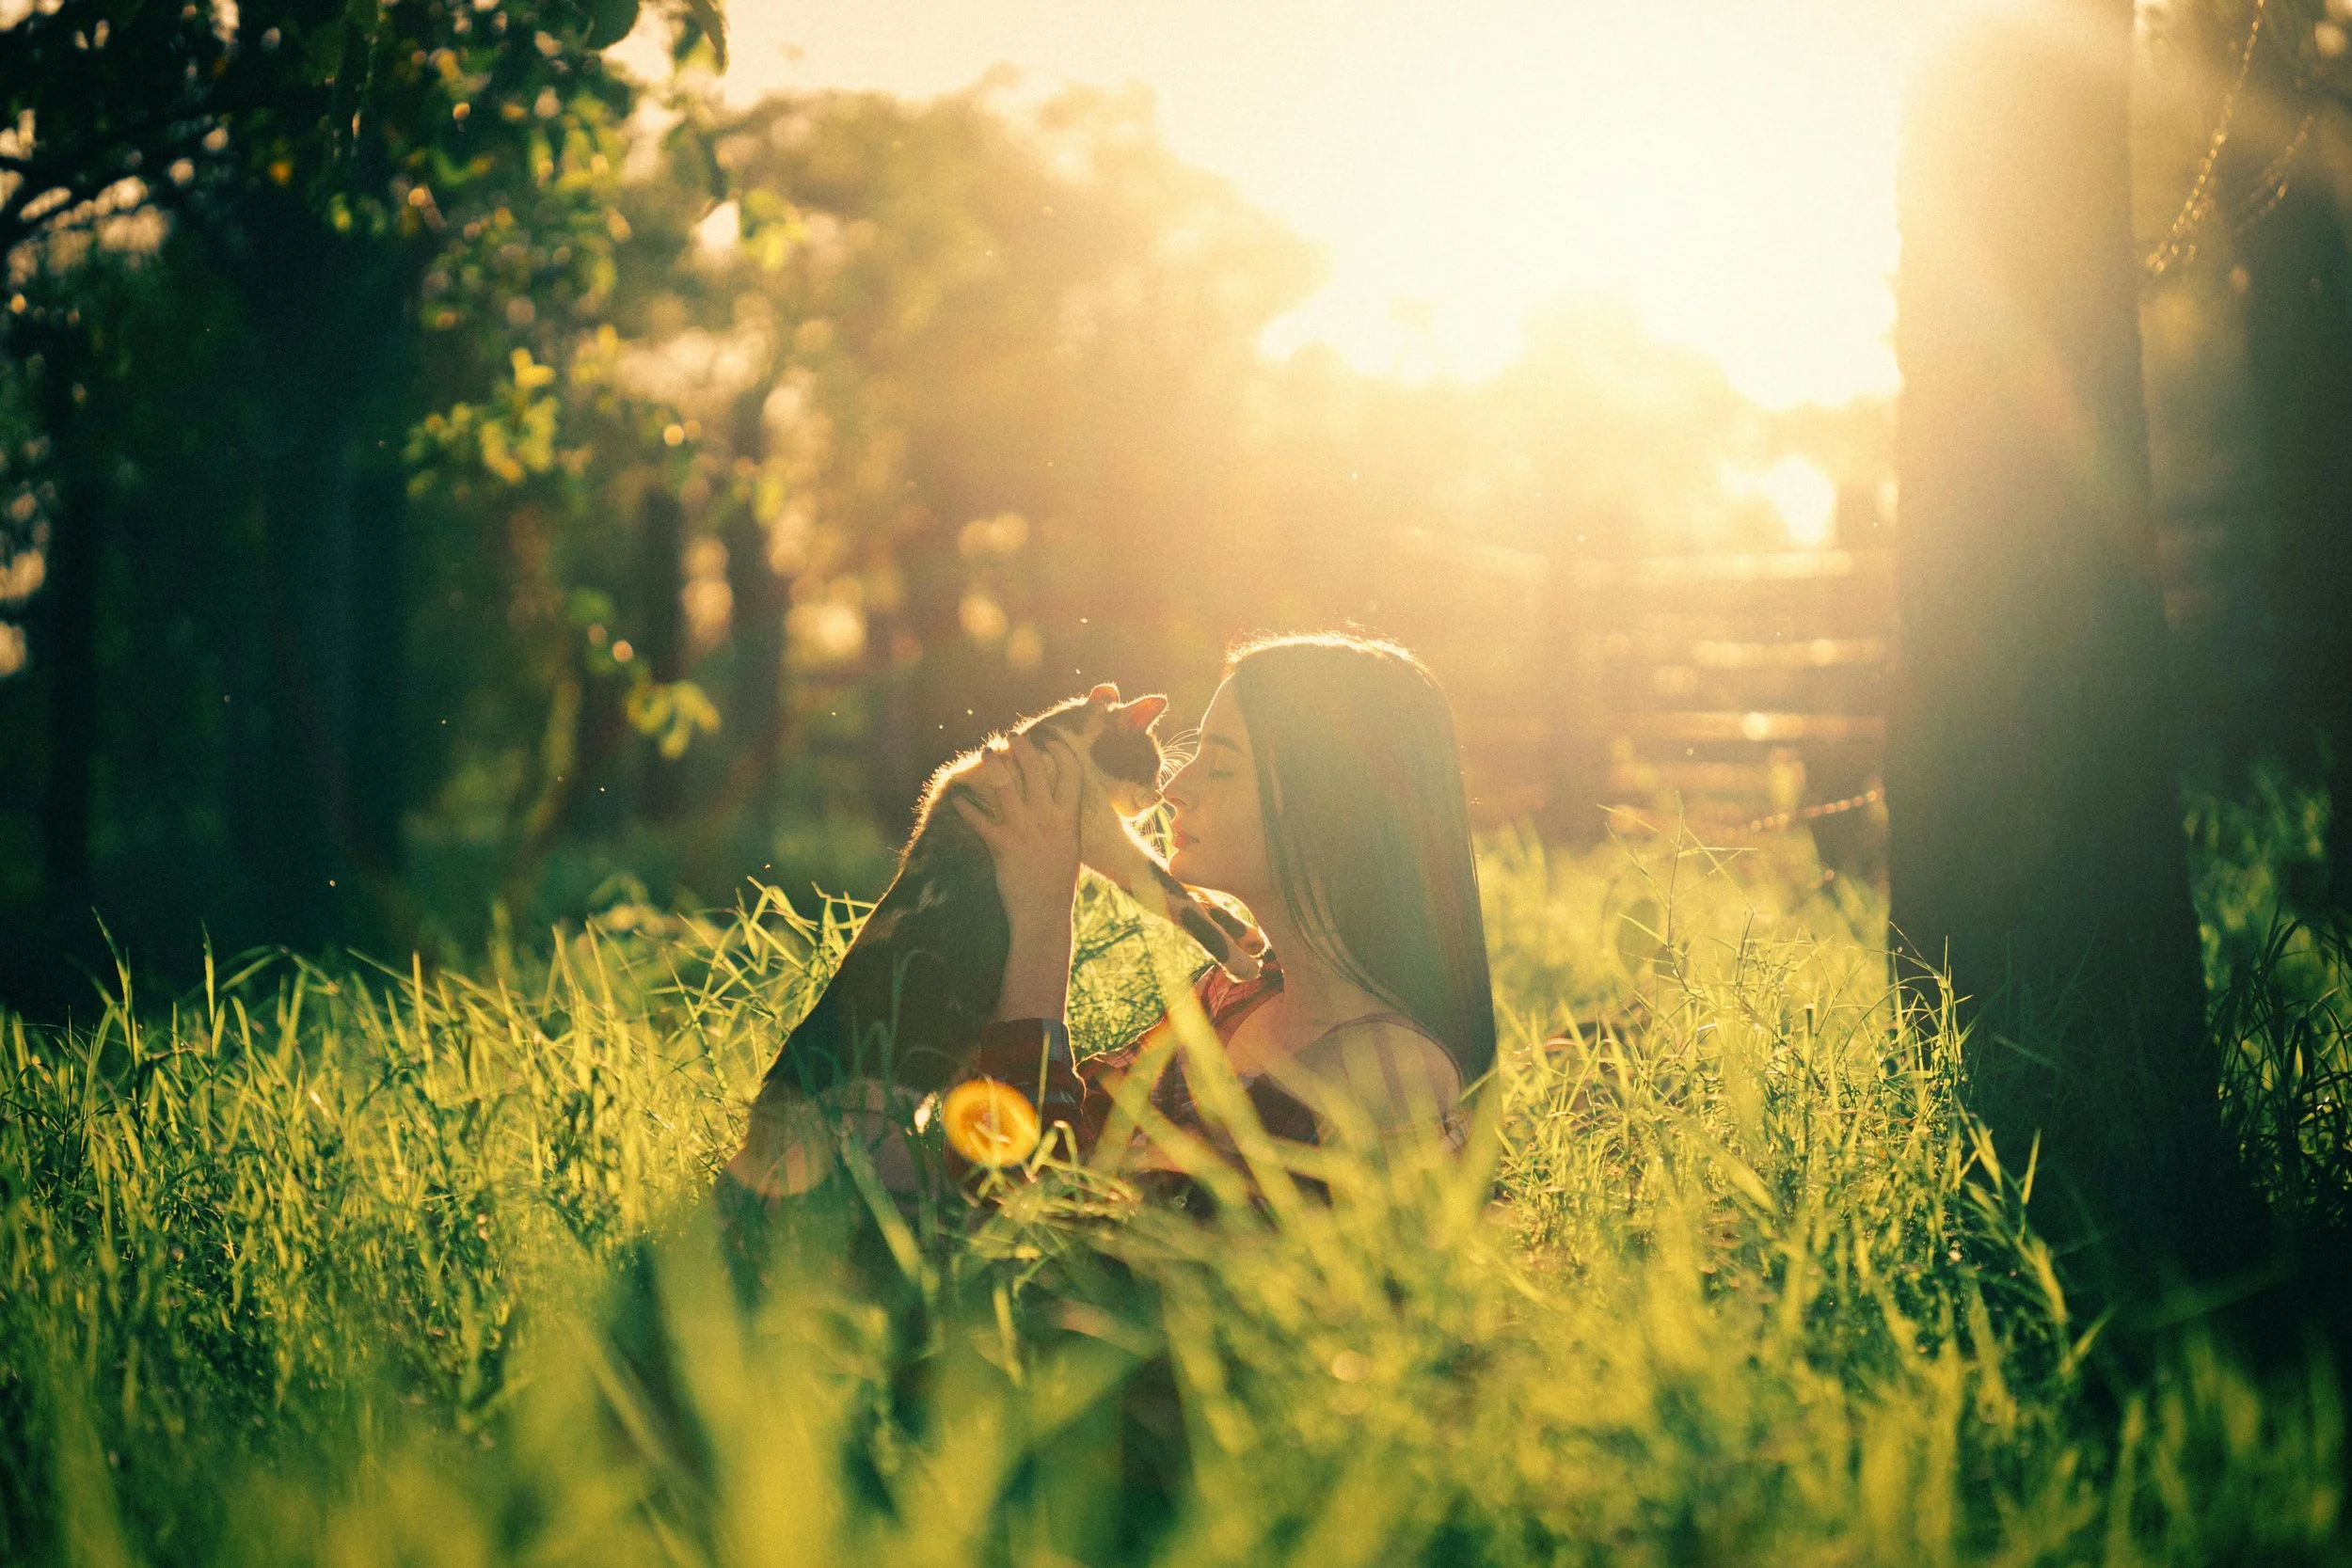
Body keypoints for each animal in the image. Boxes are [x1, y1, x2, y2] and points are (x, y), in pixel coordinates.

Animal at [753, 683, 1265, 1111]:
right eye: (1150, 766)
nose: (1157, 798)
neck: (1050, 750)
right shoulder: (1108, 841)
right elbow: (1179, 900)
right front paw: (1240, 963)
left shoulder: (1109, 848)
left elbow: (1194, 895)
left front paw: (1250, 936)